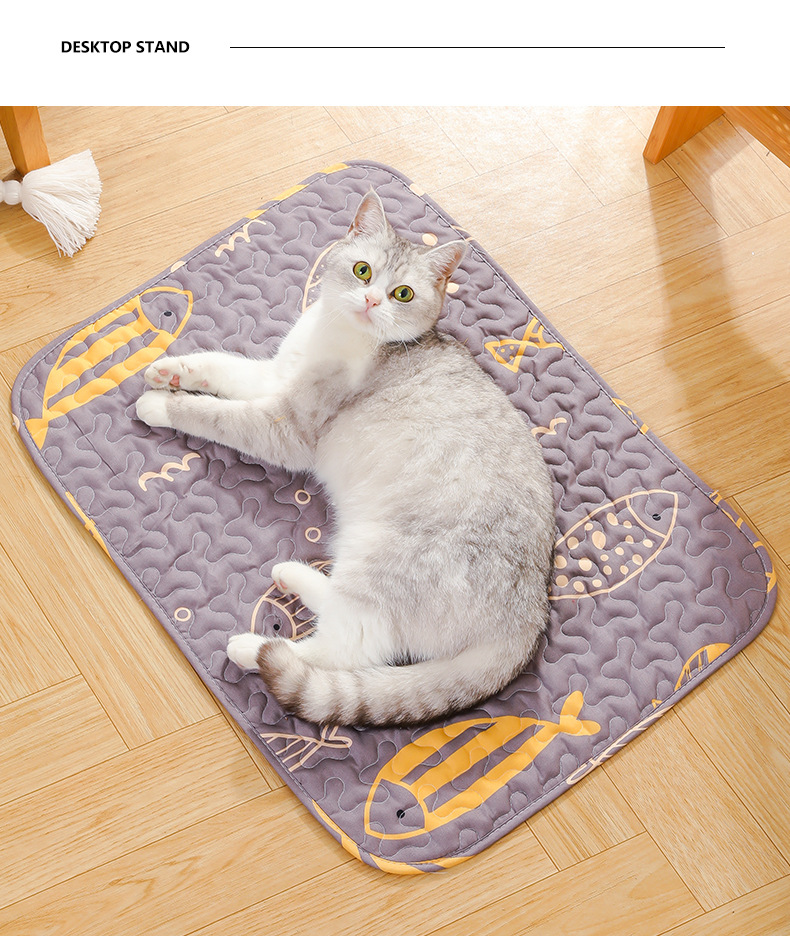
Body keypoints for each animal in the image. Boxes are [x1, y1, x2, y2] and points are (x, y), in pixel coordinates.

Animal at [136, 189, 556, 727]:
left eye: (402, 294)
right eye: (362, 271)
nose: (372, 300)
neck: (335, 336)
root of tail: (529, 620)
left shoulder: (284, 426)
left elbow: (210, 413)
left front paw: (159, 404)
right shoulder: (276, 378)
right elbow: (219, 366)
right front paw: (168, 370)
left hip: (378, 561)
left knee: (343, 651)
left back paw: (253, 647)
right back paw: (293, 574)